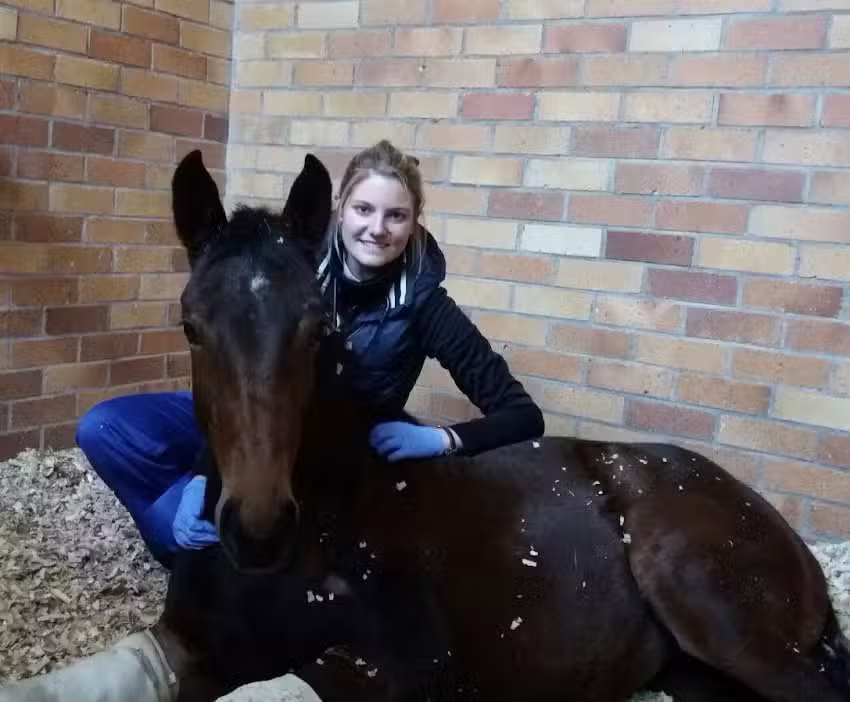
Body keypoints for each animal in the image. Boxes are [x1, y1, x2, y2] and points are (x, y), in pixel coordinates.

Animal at [157, 148, 850, 702]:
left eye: (316, 327)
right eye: (190, 326)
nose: (259, 530)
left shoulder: (403, 668)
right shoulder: (188, 653)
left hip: (708, 602)